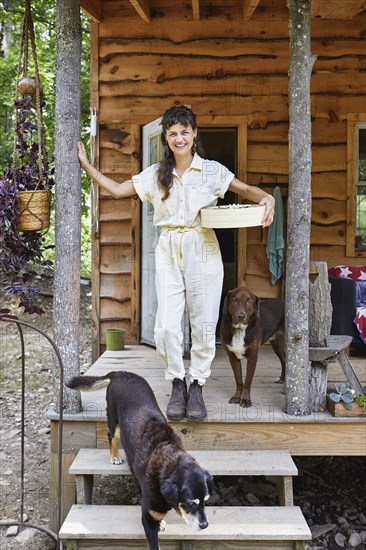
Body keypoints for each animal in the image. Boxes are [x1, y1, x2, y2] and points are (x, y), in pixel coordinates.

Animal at [67, 370, 213, 550]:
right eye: (191, 503)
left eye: (206, 501)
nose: (205, 525)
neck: (168, 460)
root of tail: (120, 373)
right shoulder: (149, 520)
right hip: (113, 416)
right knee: (111, 434)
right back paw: (114, 456)